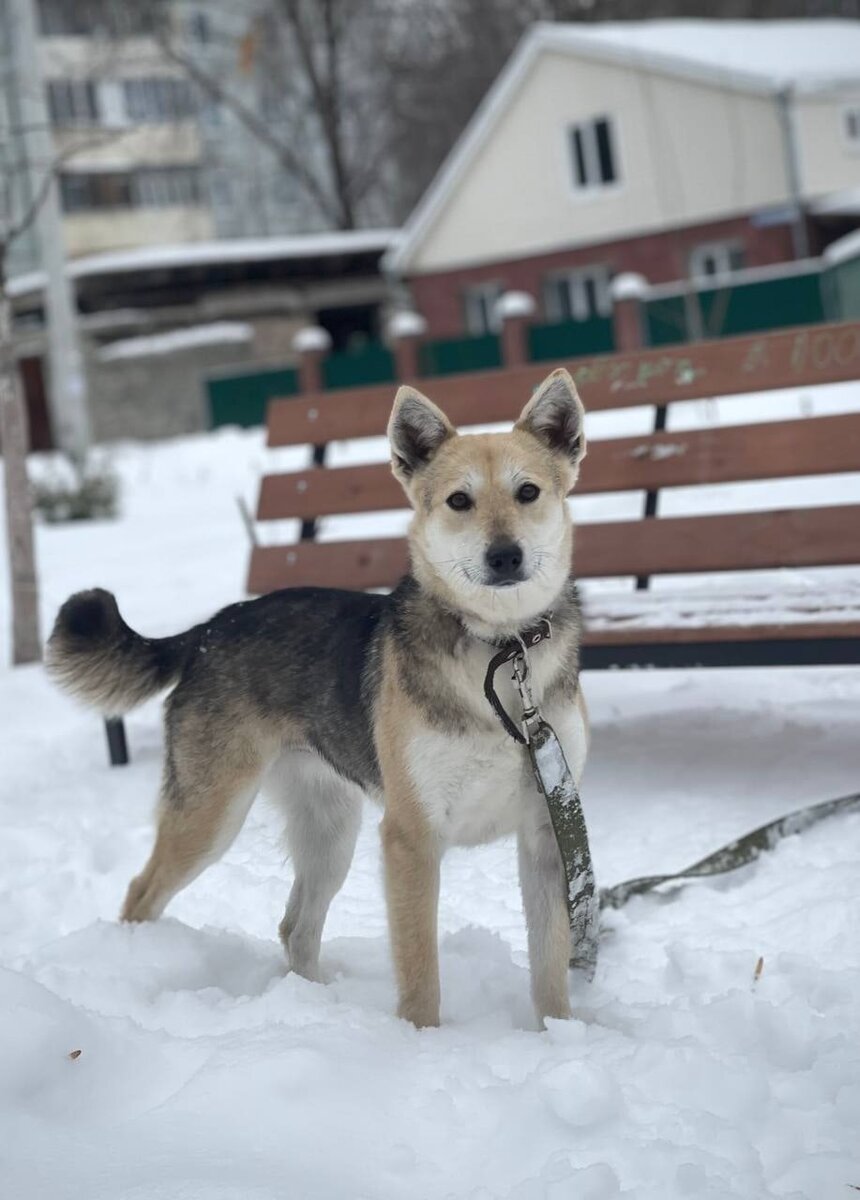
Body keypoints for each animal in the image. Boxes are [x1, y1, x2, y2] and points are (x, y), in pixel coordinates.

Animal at [48, 369, 590, 1027]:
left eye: (528, 492)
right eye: (459, 501)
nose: (505, 555)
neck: (501, 646)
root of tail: (210, 628)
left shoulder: (547, 830)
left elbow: (550, 967)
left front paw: (560, 1035)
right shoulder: (410, 836)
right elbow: (420, 972)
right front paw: (423, 1040)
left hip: (330, 828)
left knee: (295, 927)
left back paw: (311, 1004)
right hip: (211, 814)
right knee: (141, 892)